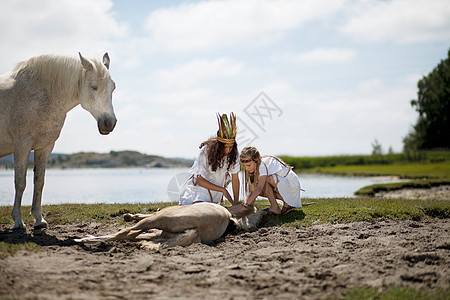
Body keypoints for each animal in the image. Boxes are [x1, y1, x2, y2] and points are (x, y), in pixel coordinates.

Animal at [0, 52, 118, 229]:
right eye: (92, 86)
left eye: (113, 87)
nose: (109, 123)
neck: (38, 94)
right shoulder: (22, 145)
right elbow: (20, 182)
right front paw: (18, 221)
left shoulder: (45, 146)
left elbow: (39, 181)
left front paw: (39, 219)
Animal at [75, 203, 262, 250]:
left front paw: (129, 216)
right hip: (163, 232)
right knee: (130, 235)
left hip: (160, 219)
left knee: (125, 233)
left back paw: (82, 239)